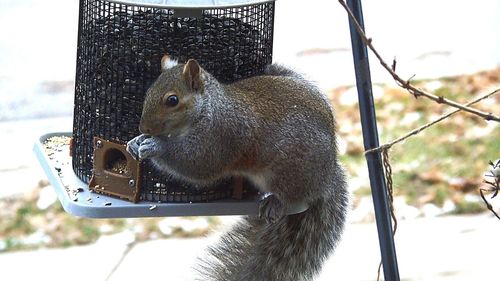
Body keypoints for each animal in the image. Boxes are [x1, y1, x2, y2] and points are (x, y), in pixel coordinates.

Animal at [127, 55, 350, 280]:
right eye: (149, 91)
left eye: (172, 100)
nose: (144, 128)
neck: (209, 108)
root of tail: (328, 175)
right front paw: (136, 141)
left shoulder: (220, 137)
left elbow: (196, 164)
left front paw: (156, 147)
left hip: (290, 172)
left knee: (292, 196)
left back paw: (276, 202)